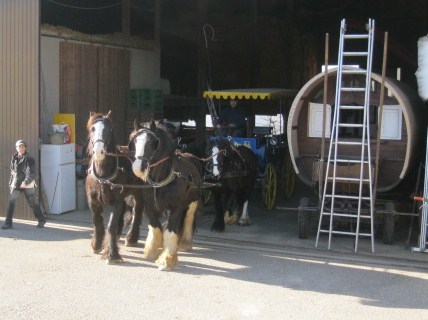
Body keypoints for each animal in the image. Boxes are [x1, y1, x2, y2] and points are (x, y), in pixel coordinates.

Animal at [86, 111, 145, 264]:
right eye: (92, 129)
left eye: (108, 129)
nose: (99, 151)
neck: (103, 175)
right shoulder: (93, 202)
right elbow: (97, 222)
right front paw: (97, 245)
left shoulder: (116, 201)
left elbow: (110, 226)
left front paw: (111, 254)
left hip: (138, 193)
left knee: (137, 210)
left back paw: (131, 238)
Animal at [130, 119, 201, 270]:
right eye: (135, 141)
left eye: (152, 142)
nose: (138, 168)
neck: (161, 180)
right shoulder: (150, 206)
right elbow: (156, 227)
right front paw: (152, 251)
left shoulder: (176, 207)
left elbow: (170, 230)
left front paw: (167, 259)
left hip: (193, 201)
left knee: (188, 218)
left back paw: (184, 243)